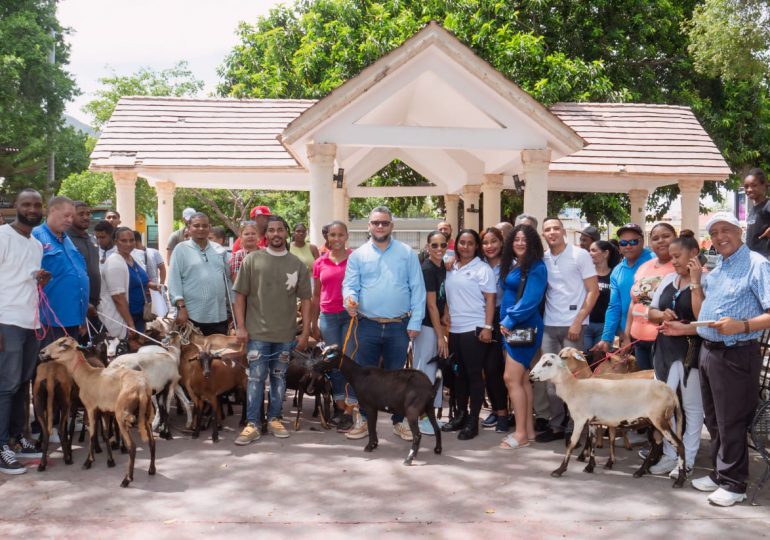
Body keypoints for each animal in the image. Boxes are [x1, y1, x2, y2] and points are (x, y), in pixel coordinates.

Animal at [38, 338, 155, 490]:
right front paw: (109, 460)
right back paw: (151, 470)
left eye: (64, 345)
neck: (86, 375)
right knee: (152, 442)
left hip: (121, 414)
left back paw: (127, 479)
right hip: (147, 415)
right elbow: (104, 434)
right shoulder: (104, 411)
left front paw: (88, 462)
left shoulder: (90, 408)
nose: (42, 352)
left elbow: (92, 434)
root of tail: (142, 387)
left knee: (132, 447)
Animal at [528, 352, 684, 488]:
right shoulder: (591, 421)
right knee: (657, 446)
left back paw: (679, 480)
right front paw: (590, 466)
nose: (530, 375)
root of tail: (671, 392)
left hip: (660, 420)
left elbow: (571, 444)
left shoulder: (580, 419)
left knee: (679, 444)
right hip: (653, 423)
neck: (574, 388)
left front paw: (559, 470)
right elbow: (591, 442)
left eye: (548, 363)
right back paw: (640, 471)